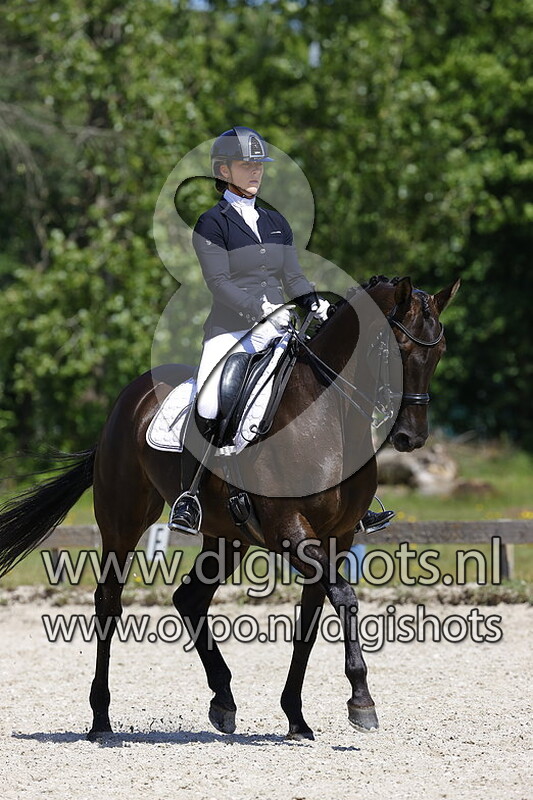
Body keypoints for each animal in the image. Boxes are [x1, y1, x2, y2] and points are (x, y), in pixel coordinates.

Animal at [0, 274, 459, 740]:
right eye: (397, 349)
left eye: (439, 351)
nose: (411, 438)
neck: (329, 416)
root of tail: (126, 401)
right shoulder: (291, 530)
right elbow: (345, 597)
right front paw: (361, 701)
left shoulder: (338, 537)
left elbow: (311, 621)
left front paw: (296, 718)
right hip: (123, 520)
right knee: (108, 602)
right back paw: (100, 720)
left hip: (227, 536)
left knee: (189, 598)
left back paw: (222, 700)